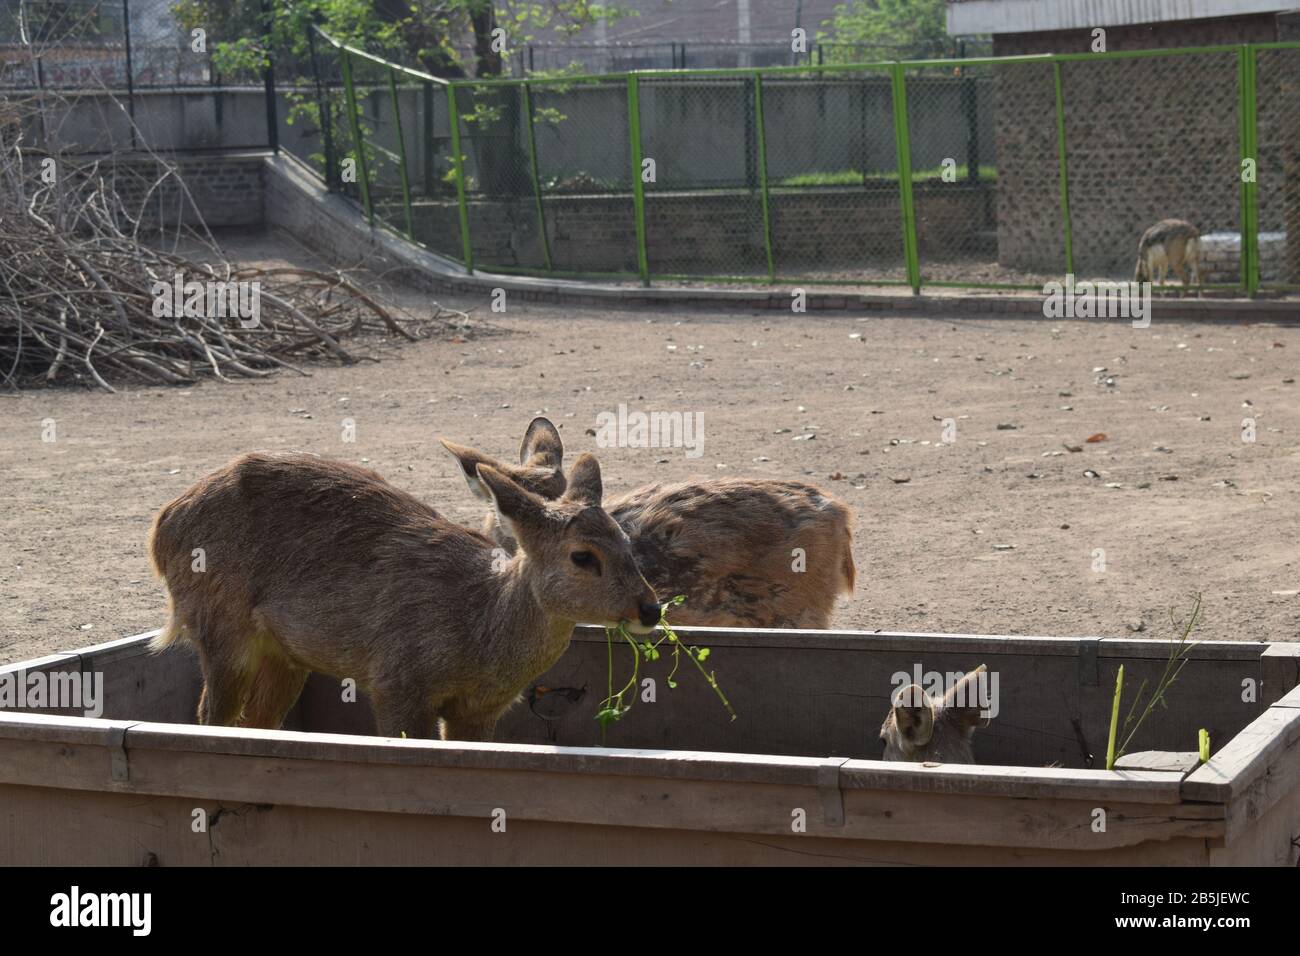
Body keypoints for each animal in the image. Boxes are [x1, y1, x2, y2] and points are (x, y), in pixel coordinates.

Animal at [147, 448, 661, 741]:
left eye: (625, 538)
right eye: (582, 556)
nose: (651, 608)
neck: (478, 636)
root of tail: (162, 526)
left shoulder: (481, 709)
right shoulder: (396, 681)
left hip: (284, 653)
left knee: (256, 722)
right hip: (220, 623)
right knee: (210, 714)